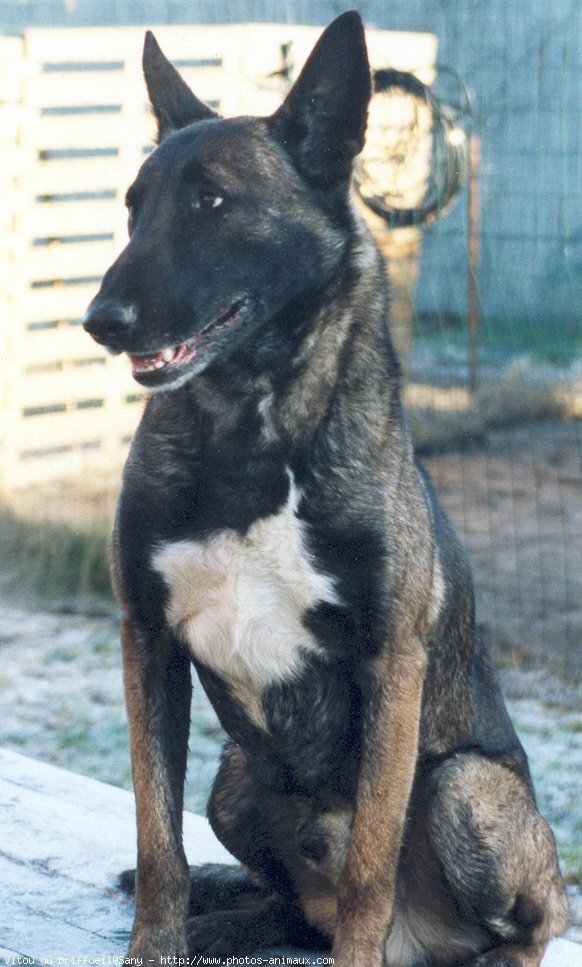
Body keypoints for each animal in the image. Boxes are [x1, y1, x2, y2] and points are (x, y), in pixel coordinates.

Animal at [83, 11, 572, 964]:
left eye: (212, 202)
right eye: (132, 206)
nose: (100, 321)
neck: (251, 436)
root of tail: (423, 943)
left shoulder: (390, 663)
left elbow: (369, 870)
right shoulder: (146, 638)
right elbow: (157, 840)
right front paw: (157, 941)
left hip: (464, 788)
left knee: (531, 917)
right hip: (235, 780)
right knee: (283, 903)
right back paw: (227, 917)